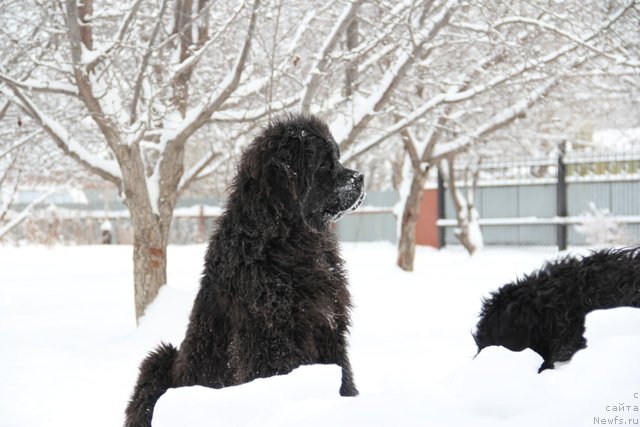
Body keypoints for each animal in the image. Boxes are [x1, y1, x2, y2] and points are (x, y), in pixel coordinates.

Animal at [125, 114, 364, 427]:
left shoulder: (328, 324)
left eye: (337, 157)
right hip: (159, 359)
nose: (360, 177)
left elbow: (343, 372)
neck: (285, 239)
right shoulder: (270, 334)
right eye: (324, 164)